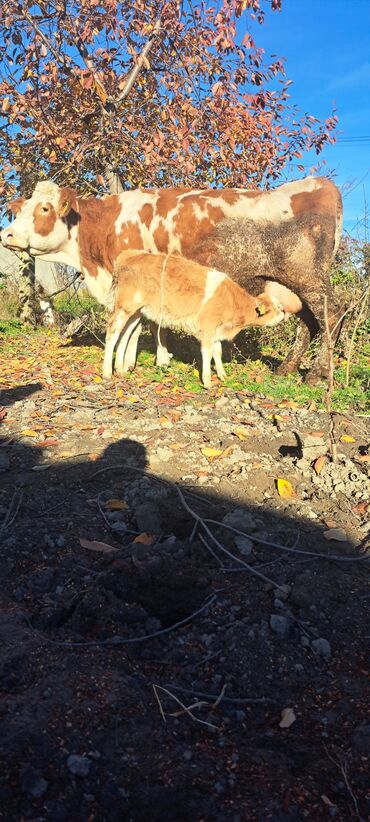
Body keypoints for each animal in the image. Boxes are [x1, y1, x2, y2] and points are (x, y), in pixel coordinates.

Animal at [103, 253, 286, 392]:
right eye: (277, 307)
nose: (285, 313)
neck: (233, 302)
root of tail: (128, 255)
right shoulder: (208, 327)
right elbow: (207, 353)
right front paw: (207, 381)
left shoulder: (217, 330)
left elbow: (217, 351)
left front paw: (222, 374)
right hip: (124, 308)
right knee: (112, 333)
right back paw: (106, 372)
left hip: (136, 311)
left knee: (125, 334)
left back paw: (120, 369)